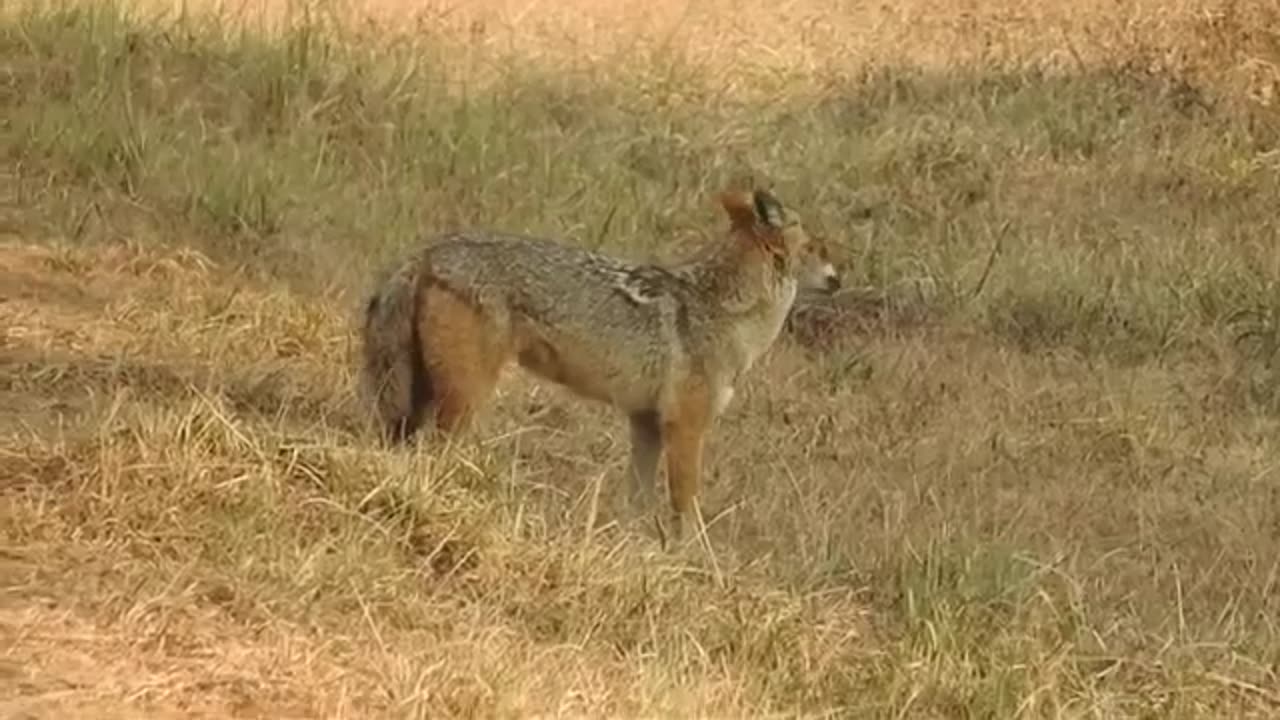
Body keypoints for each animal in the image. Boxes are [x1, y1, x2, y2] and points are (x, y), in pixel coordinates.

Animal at [359, 189, 841, 542]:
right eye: (817, 246)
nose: (839, 278)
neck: (725, 310)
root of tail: (427, 251)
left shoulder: (645, 423)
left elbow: (637, 503)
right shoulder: (686, 426)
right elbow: (686, 505)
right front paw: (697, 559)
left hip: (422, 401)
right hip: (464, 402)